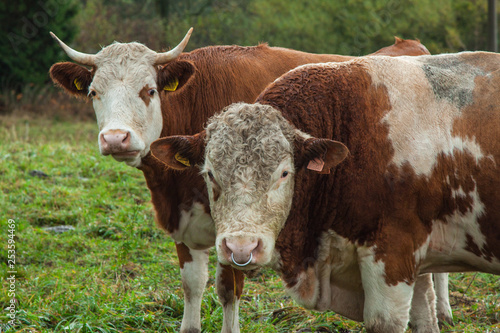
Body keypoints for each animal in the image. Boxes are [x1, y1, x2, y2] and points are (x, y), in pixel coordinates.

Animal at [47, 29, 442, 332]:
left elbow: (227, 290)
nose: (116, 139)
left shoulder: (236, 231)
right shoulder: (184, 225)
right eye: (93, 92)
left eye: (149, 90)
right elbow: (192, 286)